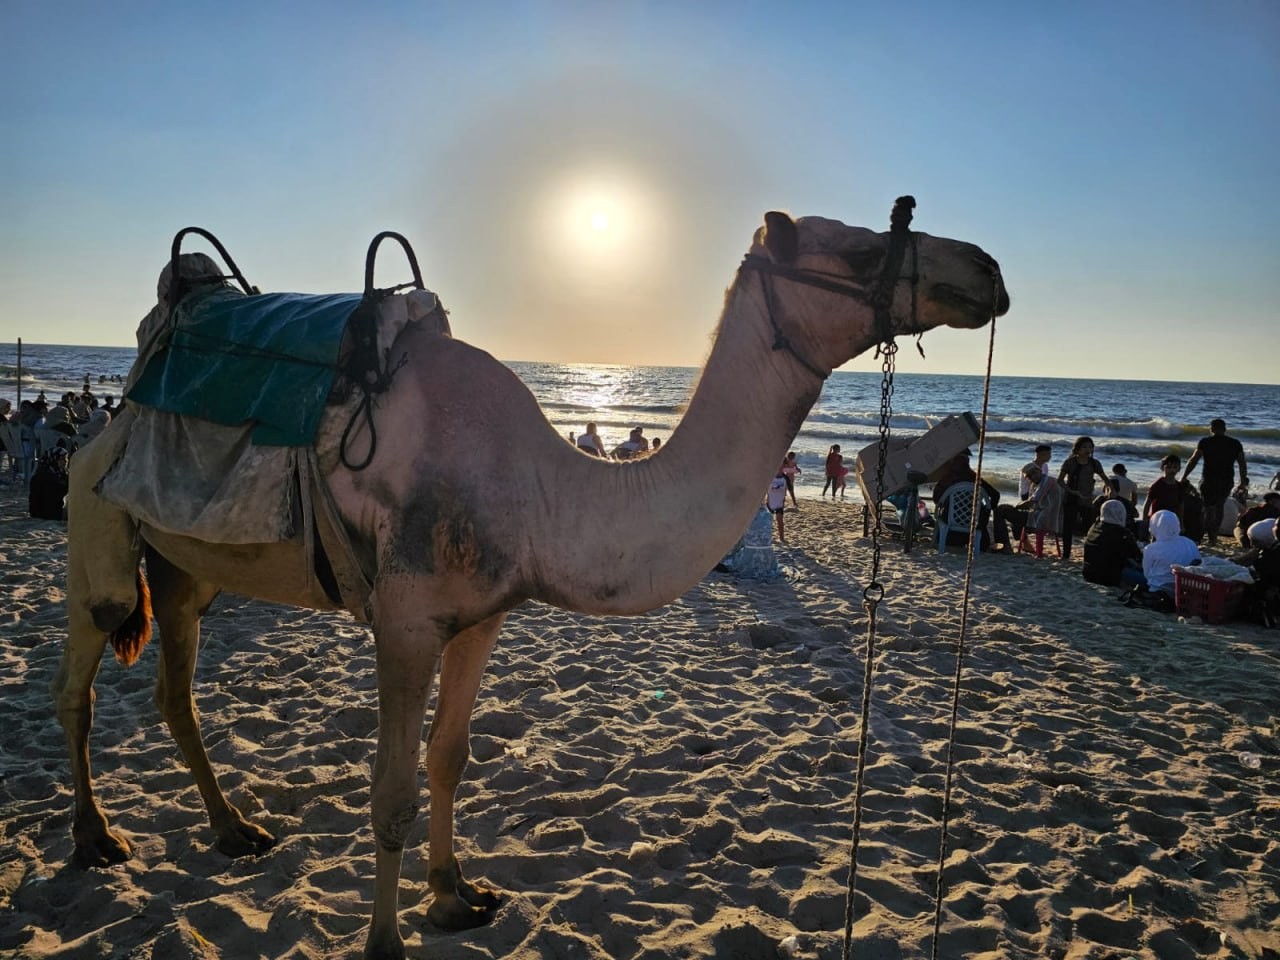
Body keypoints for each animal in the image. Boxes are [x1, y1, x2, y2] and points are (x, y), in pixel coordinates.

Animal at [51, 208, 1009, 960]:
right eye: (856, 249)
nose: (987, 269)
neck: (542, 488)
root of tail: (120, 404)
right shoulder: (405, 620)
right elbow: (391, 793)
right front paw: (386, 942)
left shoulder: (481, 616)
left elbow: (450, 758)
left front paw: (454, 898)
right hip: (95, 510)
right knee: (83, 676)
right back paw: (98, 838)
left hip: (185, 569)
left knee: (175, 686)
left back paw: (233, 830)